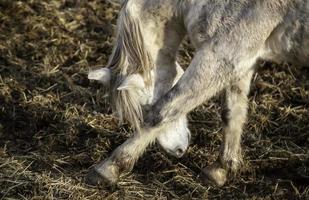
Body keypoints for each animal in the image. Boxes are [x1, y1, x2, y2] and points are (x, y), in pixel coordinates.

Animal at [85, 0, 306, 188]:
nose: (179, 150)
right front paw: (221, 169)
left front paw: (109, 168)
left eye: (145, 108)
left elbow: (165, 110)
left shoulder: (220, 57)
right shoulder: (240, 62)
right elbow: (232, 113)